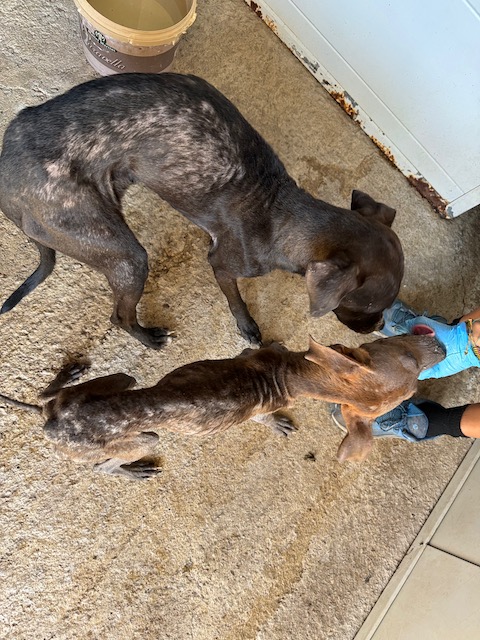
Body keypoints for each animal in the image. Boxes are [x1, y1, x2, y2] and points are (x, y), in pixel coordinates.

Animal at [0, 73, 404, 347]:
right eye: (368, 306)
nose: (378, 328)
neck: (280, 210)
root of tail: (7, 182)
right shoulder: (222, 265)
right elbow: (236, 300)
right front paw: (248, 327)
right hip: (125, 256)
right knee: (119, 317)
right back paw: (149, 338)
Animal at [0, 332, 444, 478]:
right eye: (406, 358)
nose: (441, 347)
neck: (295, 374)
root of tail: (51, 425)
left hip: (118, 385)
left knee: (46, 395)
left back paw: (69, 373)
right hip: (145, 435)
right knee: (102, 467)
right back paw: (133, 471)